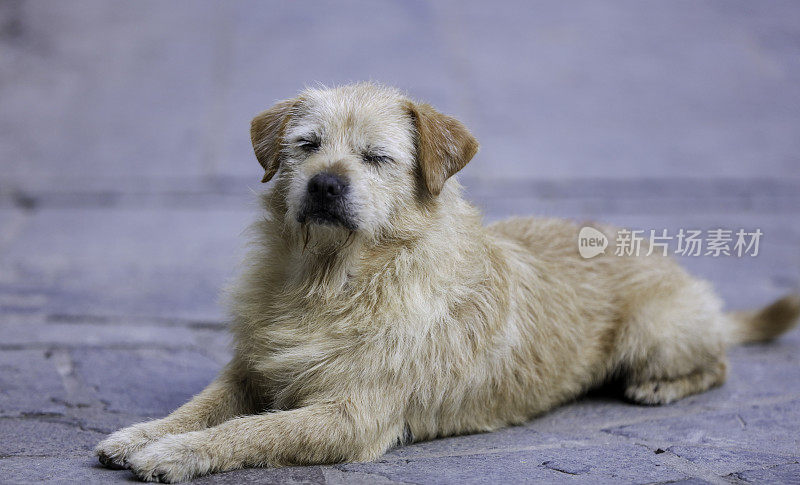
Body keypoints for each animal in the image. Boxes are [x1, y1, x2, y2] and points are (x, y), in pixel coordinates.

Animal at [95, 82, 800, 480]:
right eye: (306, 144)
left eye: (377, 157)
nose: (326, 184)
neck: (330, 280)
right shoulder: (250, 371)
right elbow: (201, 407)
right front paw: (142, 435)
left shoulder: (353, 418)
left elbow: (251, 431)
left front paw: (175, 454)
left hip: (654, 331)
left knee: (718, 362)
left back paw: (663, 385)